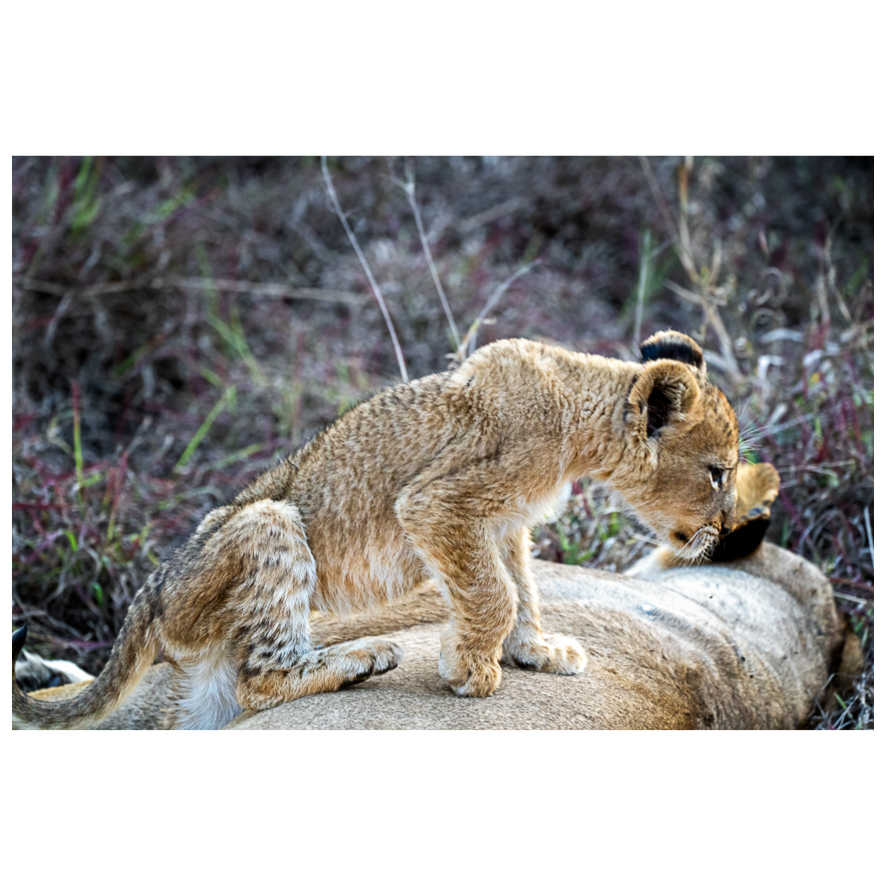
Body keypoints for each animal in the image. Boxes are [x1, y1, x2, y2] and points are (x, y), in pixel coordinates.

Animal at [13, 330, 741, 729]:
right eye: (716, 473)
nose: (730, 529)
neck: (577, 417)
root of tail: (152, 592)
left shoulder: (503, 522)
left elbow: (522, 589)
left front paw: (533, 650)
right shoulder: (436, 502)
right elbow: (492, 593)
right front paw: (469, 669)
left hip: (199, 685)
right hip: (269, 522)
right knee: (262, 676)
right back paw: (361, 659)